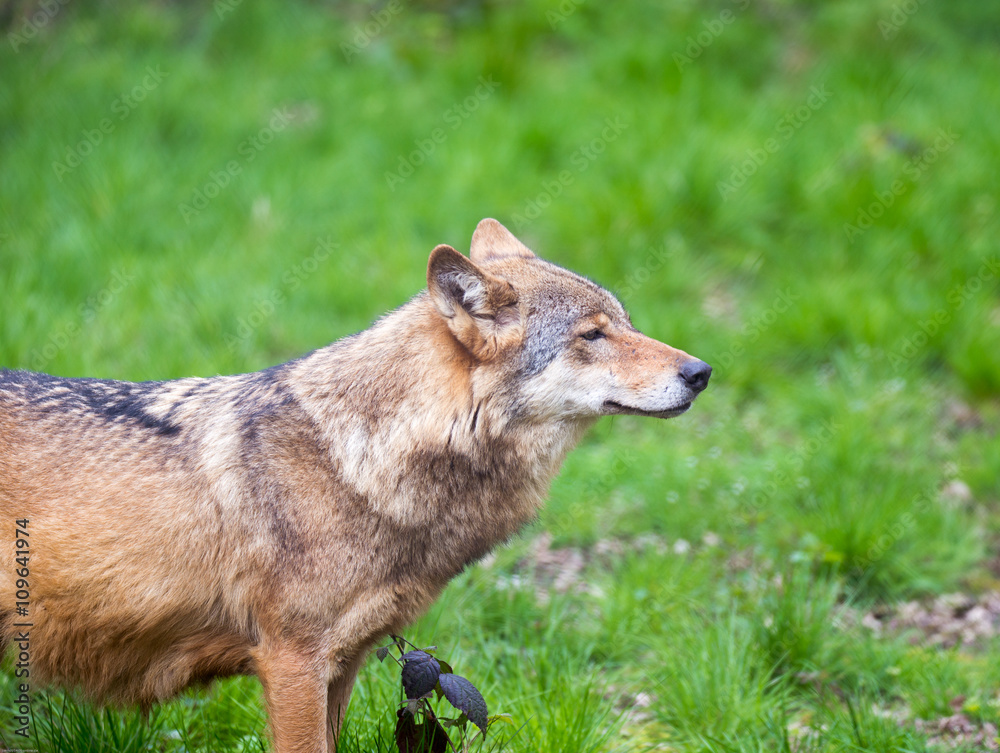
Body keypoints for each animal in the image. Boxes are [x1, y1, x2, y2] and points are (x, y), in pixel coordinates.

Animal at [0, 219, 710, 752]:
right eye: (593, 335)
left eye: (625, 323)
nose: (702, 372)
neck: (359, 459)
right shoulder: (291, 662)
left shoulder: (340, 666)